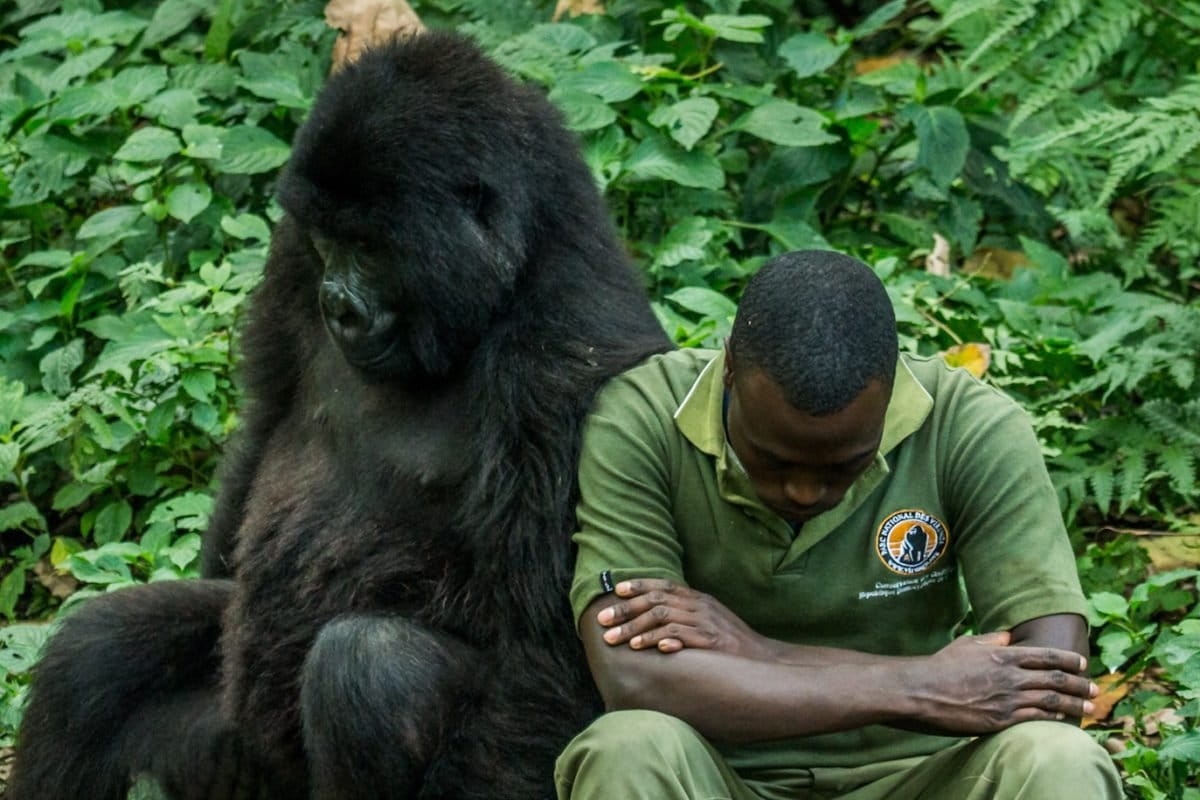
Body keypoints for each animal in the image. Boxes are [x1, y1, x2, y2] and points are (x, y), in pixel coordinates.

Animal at [9, 28, 672, 796]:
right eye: (329, 240)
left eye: (370, 246)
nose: (337, 305)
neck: (511, 269)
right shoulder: (291, 252)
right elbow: (264, 418)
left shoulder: (572, 356)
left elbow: (543, 652)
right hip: (236, 752)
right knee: (98, 650)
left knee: (371, 671)